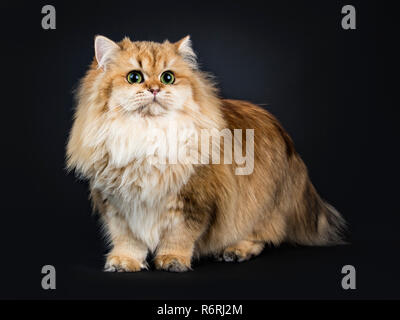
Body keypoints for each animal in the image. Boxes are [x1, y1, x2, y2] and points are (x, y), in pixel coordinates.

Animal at [67, 35, 346, 272]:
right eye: (134, 77)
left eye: (168, 78)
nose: (155, 89)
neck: (148, 136)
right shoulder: (118, 205)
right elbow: (127, 240)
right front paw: (125, 262)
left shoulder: (193, 201)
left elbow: (179, 236)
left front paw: (171, 260)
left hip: (259, 208)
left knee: (263, 236)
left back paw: (235, 251)